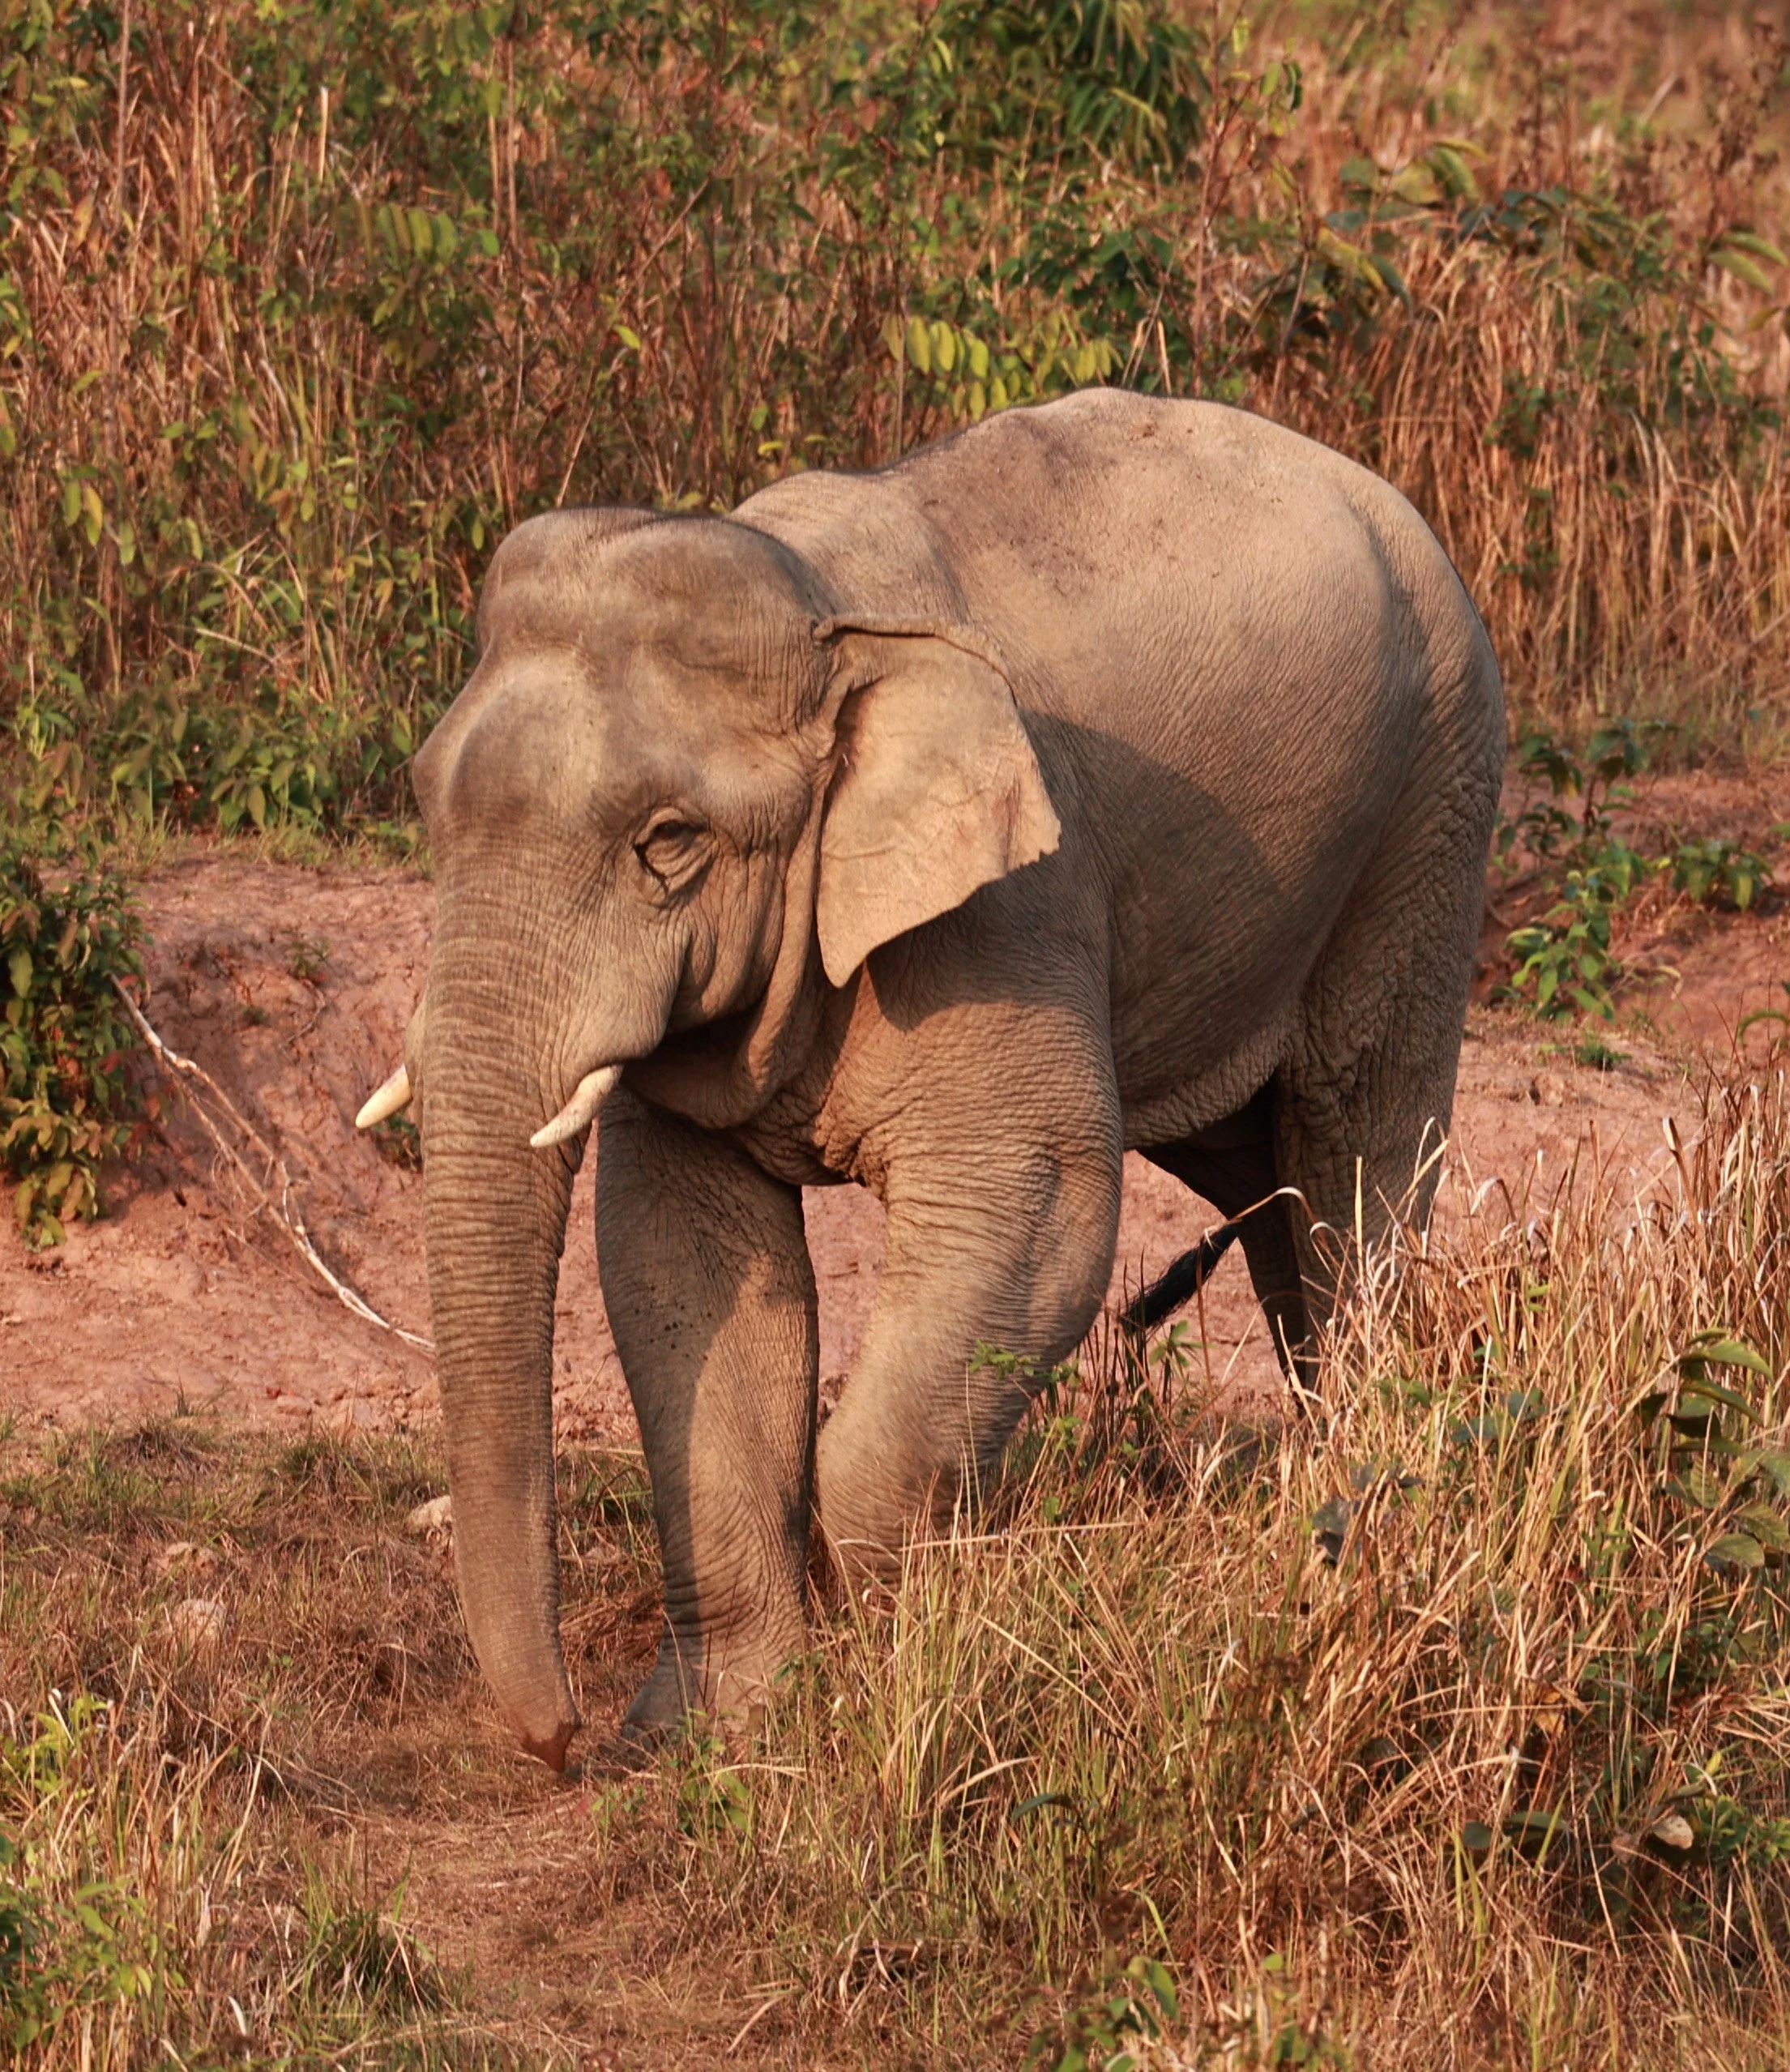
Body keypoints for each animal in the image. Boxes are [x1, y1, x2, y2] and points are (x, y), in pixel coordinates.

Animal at [355, 388, 1504, 1772]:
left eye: (669, 842)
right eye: (427, 803)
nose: (562, 1741)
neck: (819, 609)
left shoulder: (1011, 907)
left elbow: (1037, 1199)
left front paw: (895, 1694)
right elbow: (681, 1258)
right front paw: (720, 1736)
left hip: (1432, 804)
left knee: (1353, 1143)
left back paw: (1358, 1492)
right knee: (1269, 1182)